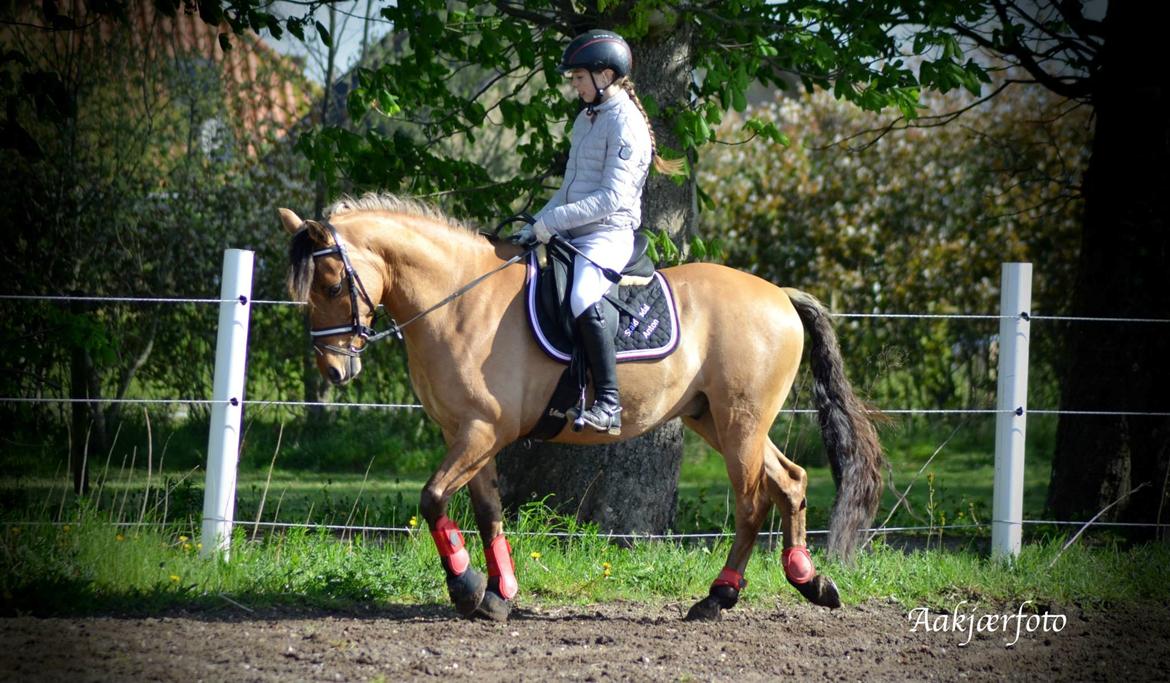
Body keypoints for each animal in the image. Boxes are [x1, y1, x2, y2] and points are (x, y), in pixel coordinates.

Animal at [280, 192, 884, 622]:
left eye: (331, 284)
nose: (334, 371)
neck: (459, 300)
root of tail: (780, 295)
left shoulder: (480, 432)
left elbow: (431, 500)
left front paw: (467, 589)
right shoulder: (470, 435)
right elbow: (487, 510)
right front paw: (500, 594)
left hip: (740, 423)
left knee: (753, 501)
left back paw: (718, 598)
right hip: (716, 418)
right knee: (791, 481)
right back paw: (809, 580)